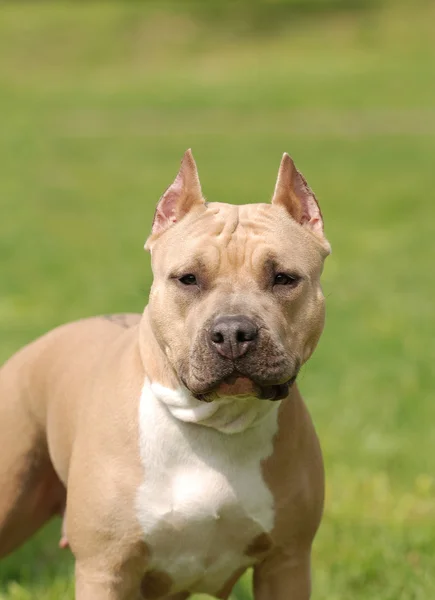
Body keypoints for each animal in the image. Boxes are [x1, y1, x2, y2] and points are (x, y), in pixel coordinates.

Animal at [0, 150, 330, 600]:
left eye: (283, 278)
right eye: (188, 278)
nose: (233, 333)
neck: (214, 424)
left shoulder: (287, 562)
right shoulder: (105, 568)